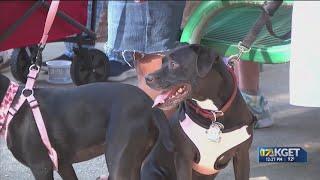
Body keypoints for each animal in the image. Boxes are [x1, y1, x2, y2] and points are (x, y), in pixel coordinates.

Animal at [0, 74, 172, 179]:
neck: (11, 105)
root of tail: (149, 104)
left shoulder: (41, 167)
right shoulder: (63, 164)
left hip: (118, 162)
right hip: (134, 162)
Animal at [141, 44, 256, 179]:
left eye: (173, 64)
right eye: (161, 62)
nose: (147, 78)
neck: (212, 112)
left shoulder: (242, 155)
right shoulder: (184, 158)